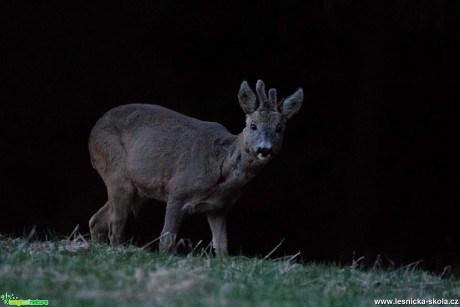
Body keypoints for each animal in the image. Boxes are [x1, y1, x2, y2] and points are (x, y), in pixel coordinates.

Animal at [88, 79, 304, 255]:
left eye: (279, 128)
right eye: (253, 125)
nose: (264, 149)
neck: (221, 165)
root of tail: (93, 131)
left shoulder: (220, 207)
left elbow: (222, 247)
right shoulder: (177, 191)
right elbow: (166, 240)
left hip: (137, 191)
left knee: (97, 220)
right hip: (115, 170)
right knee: (116, 223)